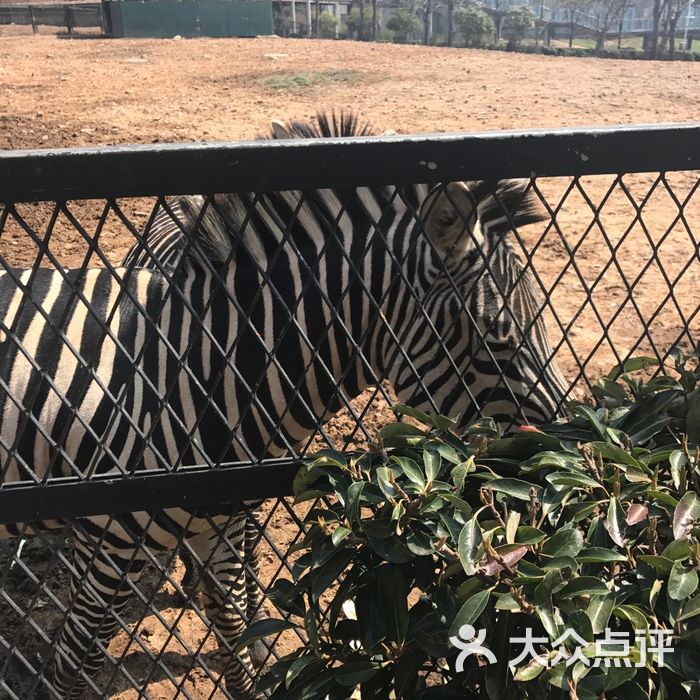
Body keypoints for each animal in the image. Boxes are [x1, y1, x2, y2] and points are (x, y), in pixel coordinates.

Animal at [0, 112, 568, 696]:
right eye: (496, 338)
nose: (554, 480)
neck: (196, 369)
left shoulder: (218, 530)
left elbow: (235, 634)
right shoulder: (105, 545)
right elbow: (76, 663)